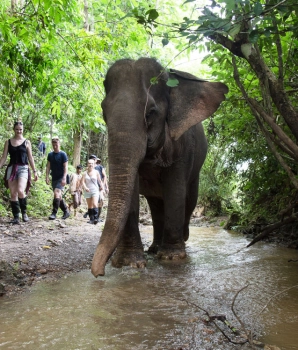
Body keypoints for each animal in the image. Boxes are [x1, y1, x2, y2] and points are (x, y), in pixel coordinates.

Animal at [91, 56, 228, 276]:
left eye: (150, 113)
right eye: (104, 111)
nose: (100, 273)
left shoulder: (184, 146)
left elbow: (175, 189)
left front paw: (172, 257)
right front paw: (130, 263)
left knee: (189, 199)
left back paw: (180, 242)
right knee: (156, 205)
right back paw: (154, 248)